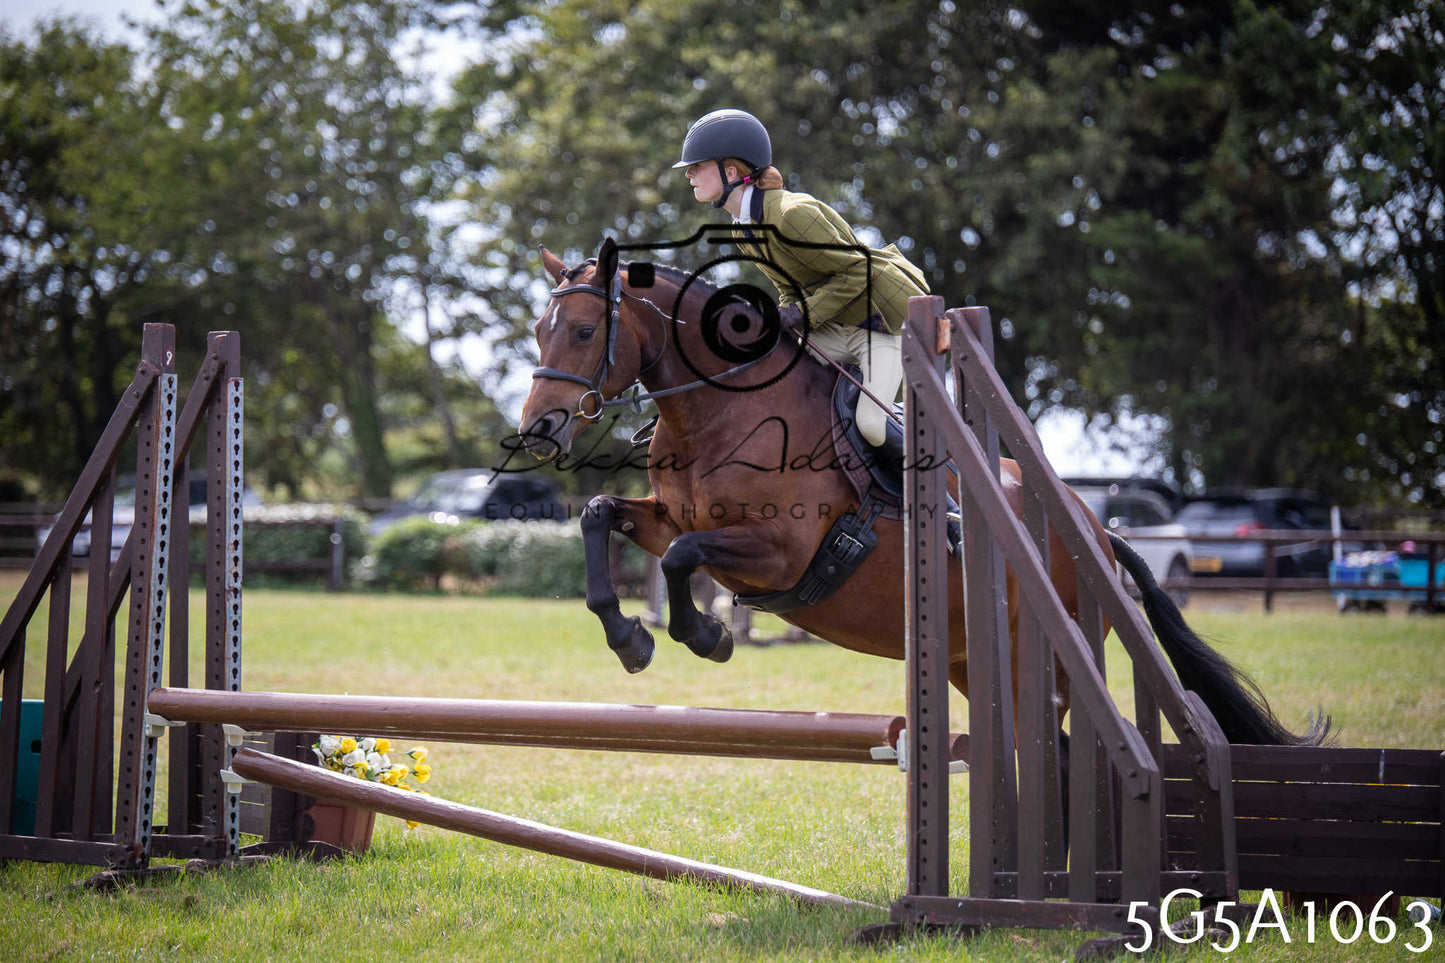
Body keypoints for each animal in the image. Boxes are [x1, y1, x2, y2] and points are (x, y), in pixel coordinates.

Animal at [518, 237, 1330, 750]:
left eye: (584, 330)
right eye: (537, 329)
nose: (538, 431)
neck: (720, 409)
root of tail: (1096, 532)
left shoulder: (779, 552)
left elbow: (685, 557)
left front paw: (705, 636)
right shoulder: (671, 517)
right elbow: (604, 518)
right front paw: (628, 639)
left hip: (1047, 659)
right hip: (973, 665)